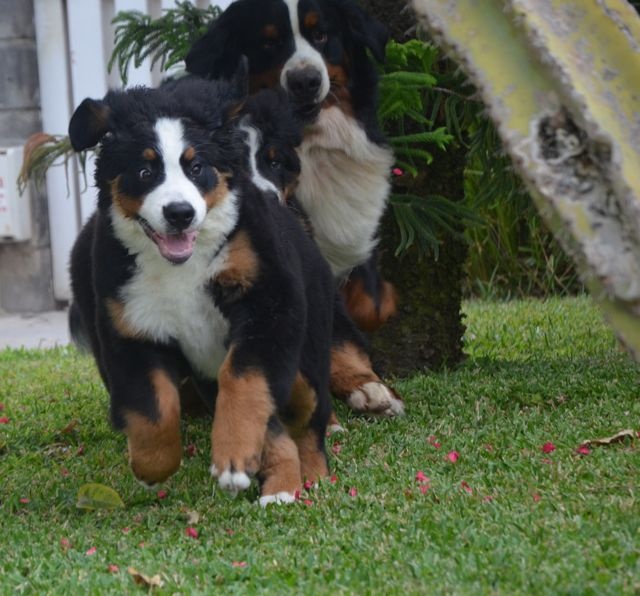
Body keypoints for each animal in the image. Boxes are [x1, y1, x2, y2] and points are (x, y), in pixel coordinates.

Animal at [67, 73, 332, 502]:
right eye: (145, 172)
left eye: (196, 167)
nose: (180, 213)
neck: (181, 268)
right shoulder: (132, 323)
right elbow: (153, 408)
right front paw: (151, 466)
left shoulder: (270, 304)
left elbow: (243, 380)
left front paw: (234, 456)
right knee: (274, 426)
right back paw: (277, 483)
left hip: (305, 357)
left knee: (308, 414)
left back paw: (306, 477)